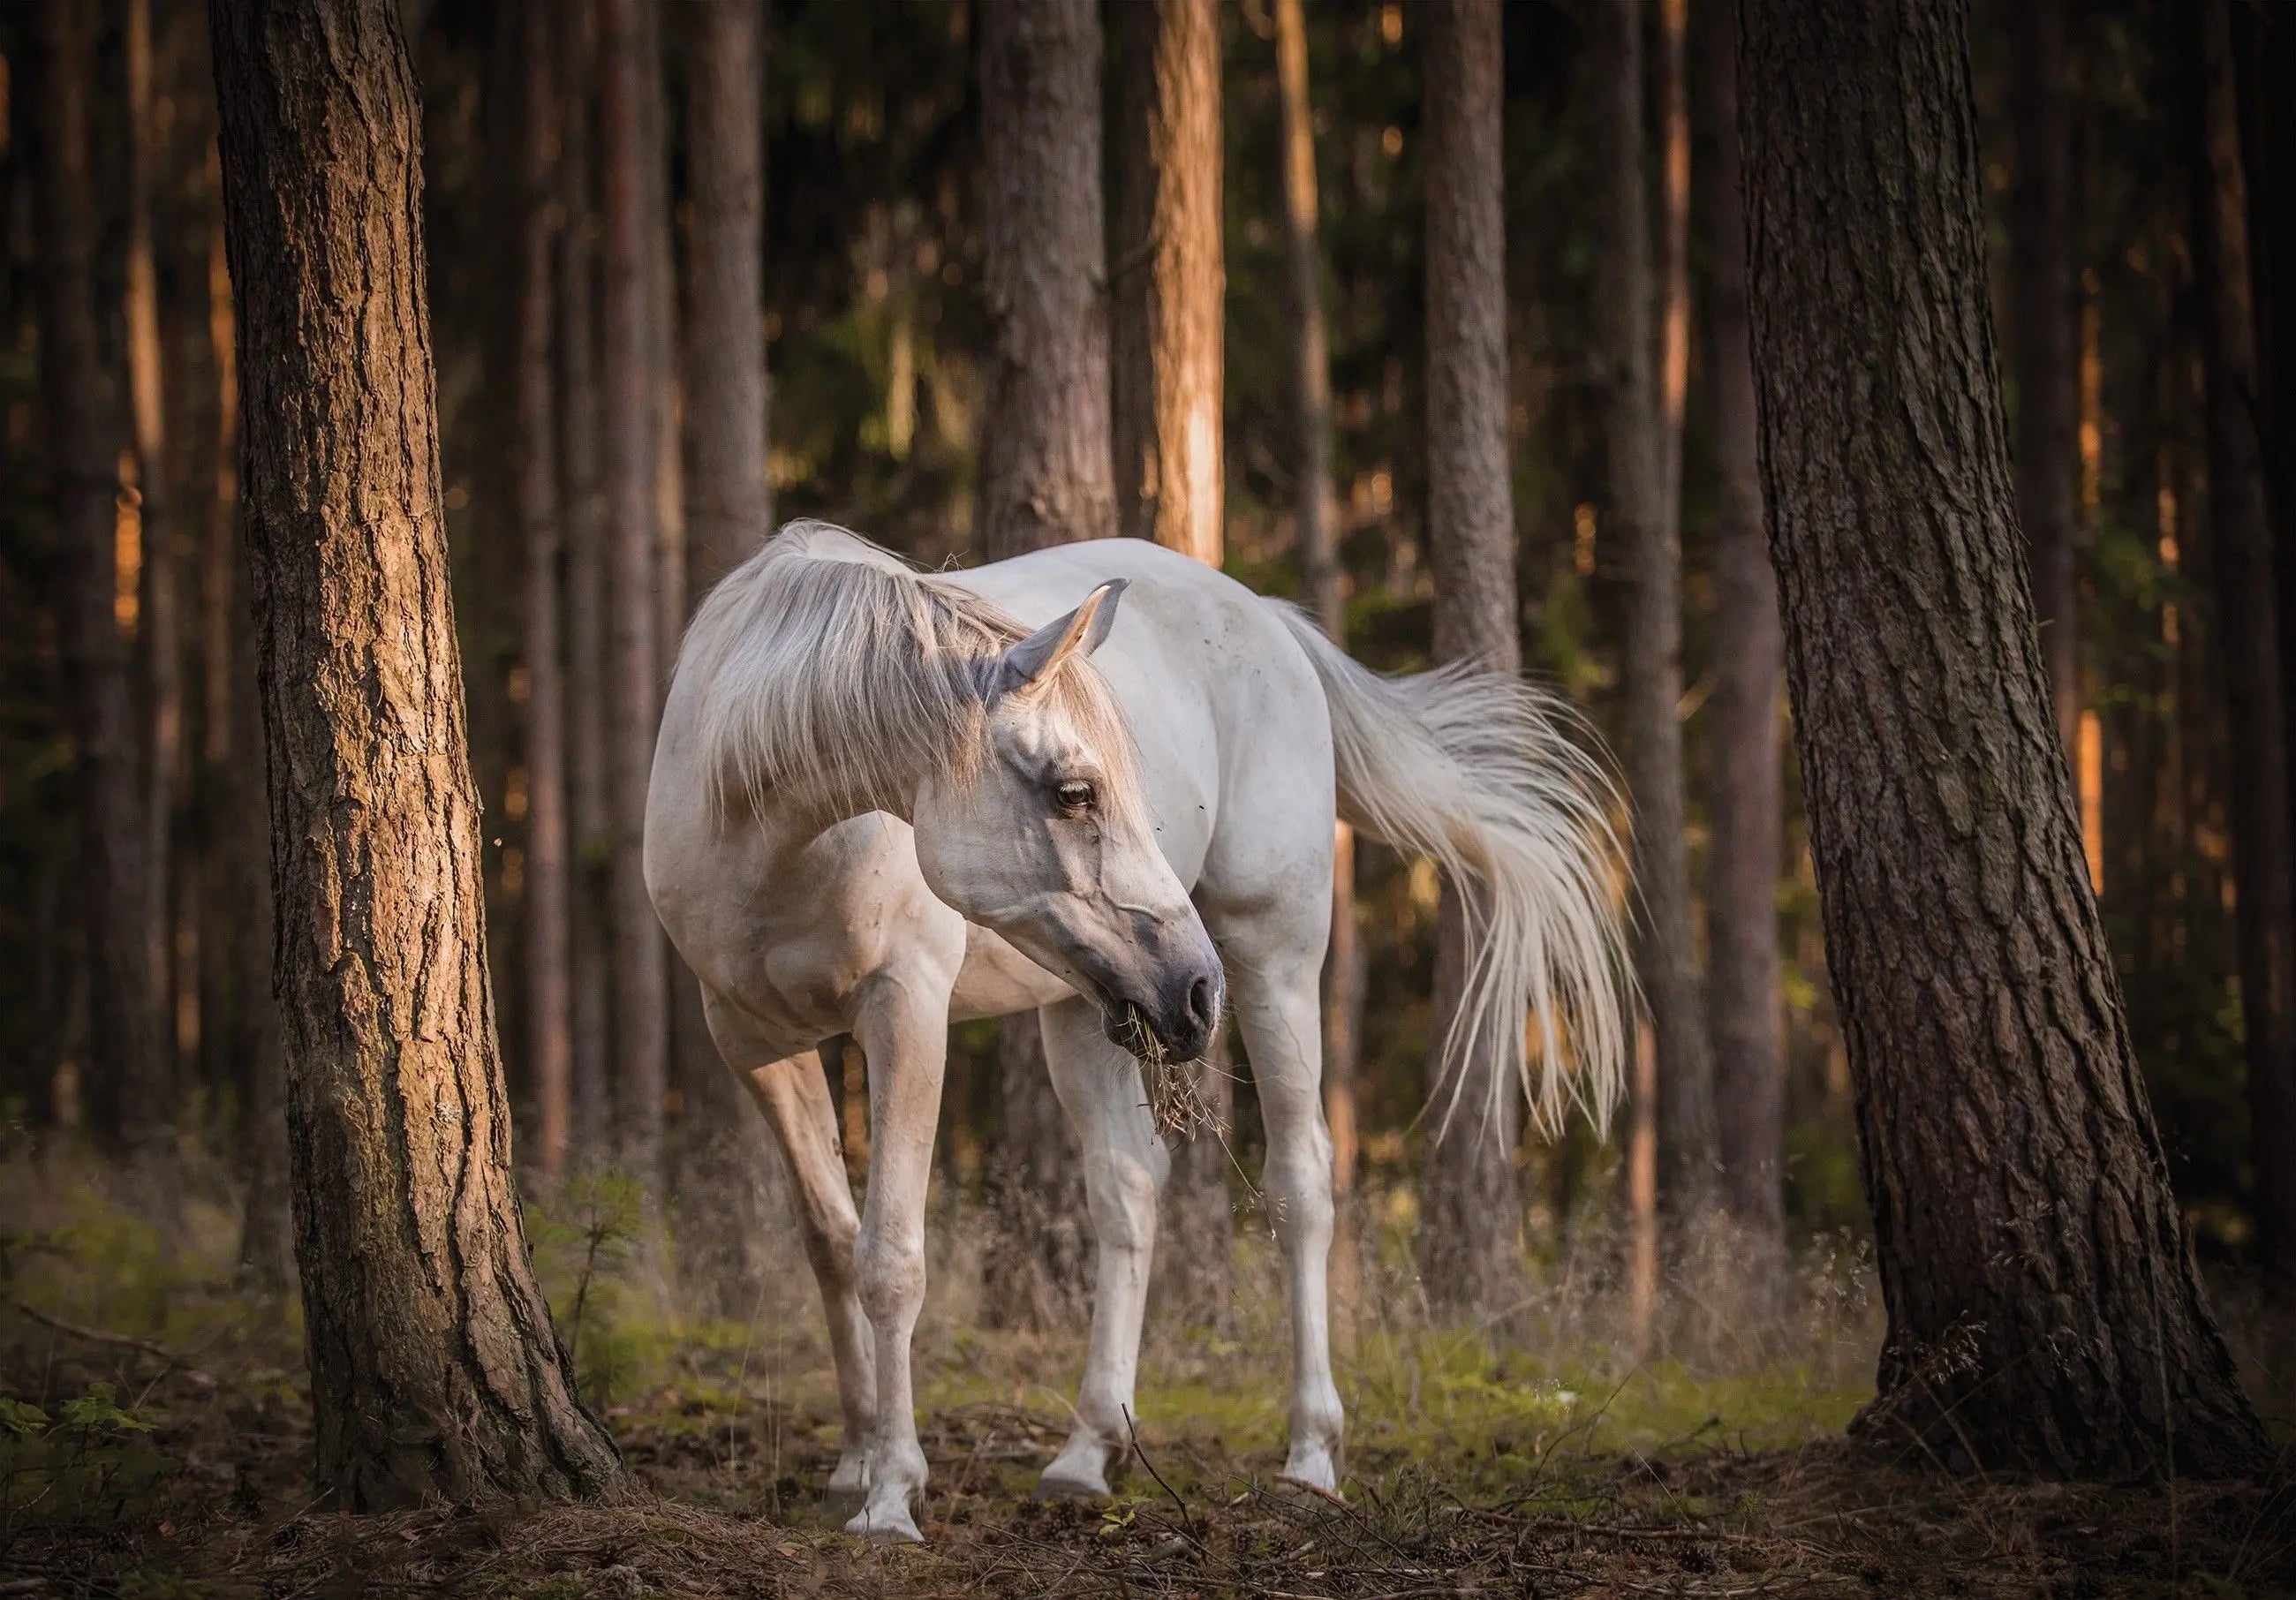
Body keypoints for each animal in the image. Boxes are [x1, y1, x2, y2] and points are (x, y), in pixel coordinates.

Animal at [638, 521, 1625, 1533]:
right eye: (1074, 791)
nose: (1196, 990)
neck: (768, 830)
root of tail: (1269, 619)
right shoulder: (754, 1046)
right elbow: (832, 1246)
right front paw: (855, 1460)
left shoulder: (905, 1014)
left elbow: (890, 1259)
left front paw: (891, 1499)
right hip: (1087, 1004)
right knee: (1128, 1193)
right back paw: (1087, 1451)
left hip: (1272, 955)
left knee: (1301, 1183)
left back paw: (1310, 1456)